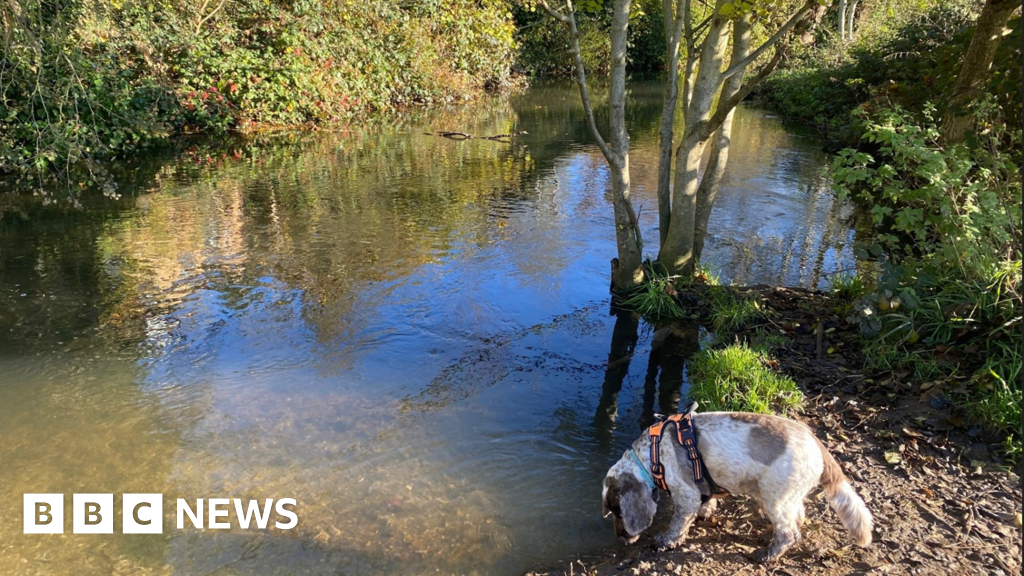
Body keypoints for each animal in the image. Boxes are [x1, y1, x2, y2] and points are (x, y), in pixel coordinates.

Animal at [598, 407, 872, 561]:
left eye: (618, 512)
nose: (621, 540)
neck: (652, 453)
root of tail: (818, 445)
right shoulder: (702, 488)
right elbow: (706, 503)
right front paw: (705, 513)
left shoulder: (685, 495)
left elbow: (677, 525)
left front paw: (666, 541)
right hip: (786, 497)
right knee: (798, 517)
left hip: (776, 498)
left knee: (789, 534)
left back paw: (767, 555)